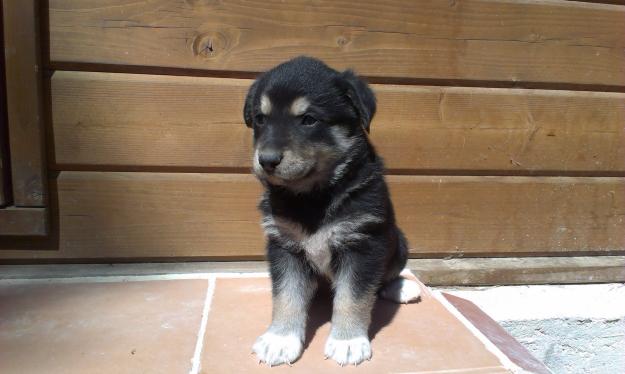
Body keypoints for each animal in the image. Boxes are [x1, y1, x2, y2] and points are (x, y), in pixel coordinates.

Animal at [241, 57, 422, 366]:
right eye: (261, 119)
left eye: (309, 119)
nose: (266, 161)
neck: (315, 195)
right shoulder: (284, 245)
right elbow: (286, 295)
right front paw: (280, 339)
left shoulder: (363, 242)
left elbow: (353, 297)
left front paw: (347, 341)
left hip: (398, 240)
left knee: (386, 276)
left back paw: (400, 288)